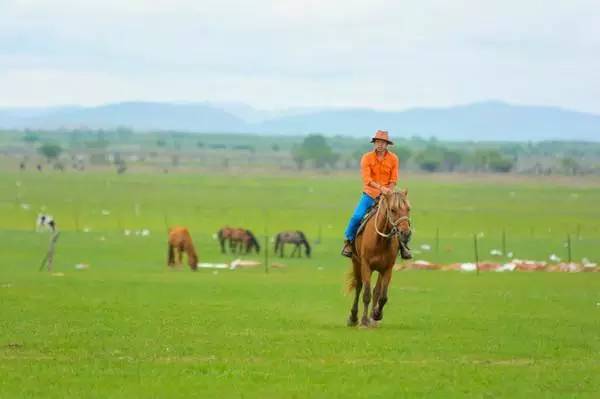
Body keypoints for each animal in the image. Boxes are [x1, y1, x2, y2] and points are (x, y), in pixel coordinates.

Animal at [346, 191, 412, 328]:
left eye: (408, 209)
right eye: (392, 210)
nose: (406, 233)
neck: (380, 241)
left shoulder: (387, 269)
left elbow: (382, 296)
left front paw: (376, 315)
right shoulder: (366, 266)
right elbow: (366, 294)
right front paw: (364, 320)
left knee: (376, 291)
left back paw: (373, 319)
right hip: (356, 262)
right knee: (358, 287)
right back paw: (353, 318)